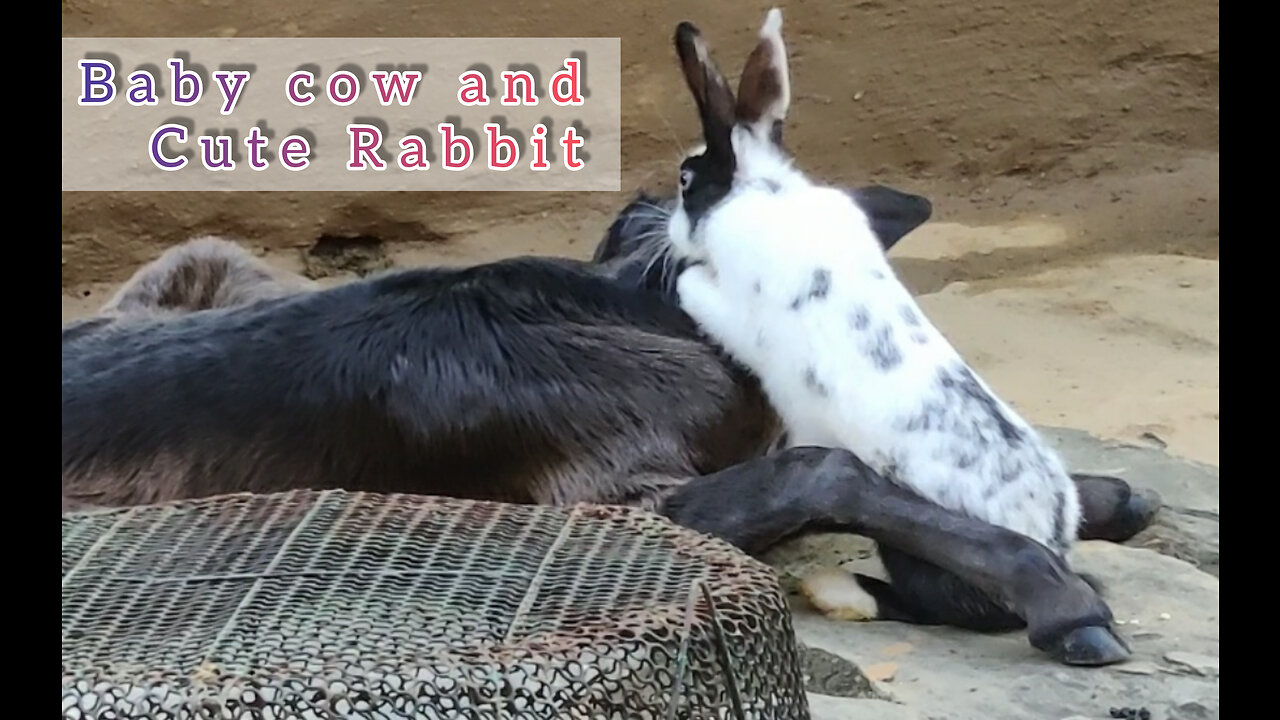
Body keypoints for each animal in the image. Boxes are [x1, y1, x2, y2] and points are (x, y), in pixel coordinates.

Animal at [670, 5, 1080, 625]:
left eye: (685, 181)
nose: (672, 231)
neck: (762, 191)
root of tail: (1052, 534)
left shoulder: (736, 307)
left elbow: (697, 290)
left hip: (912, 553)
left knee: (932, 605)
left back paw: (838, 590)